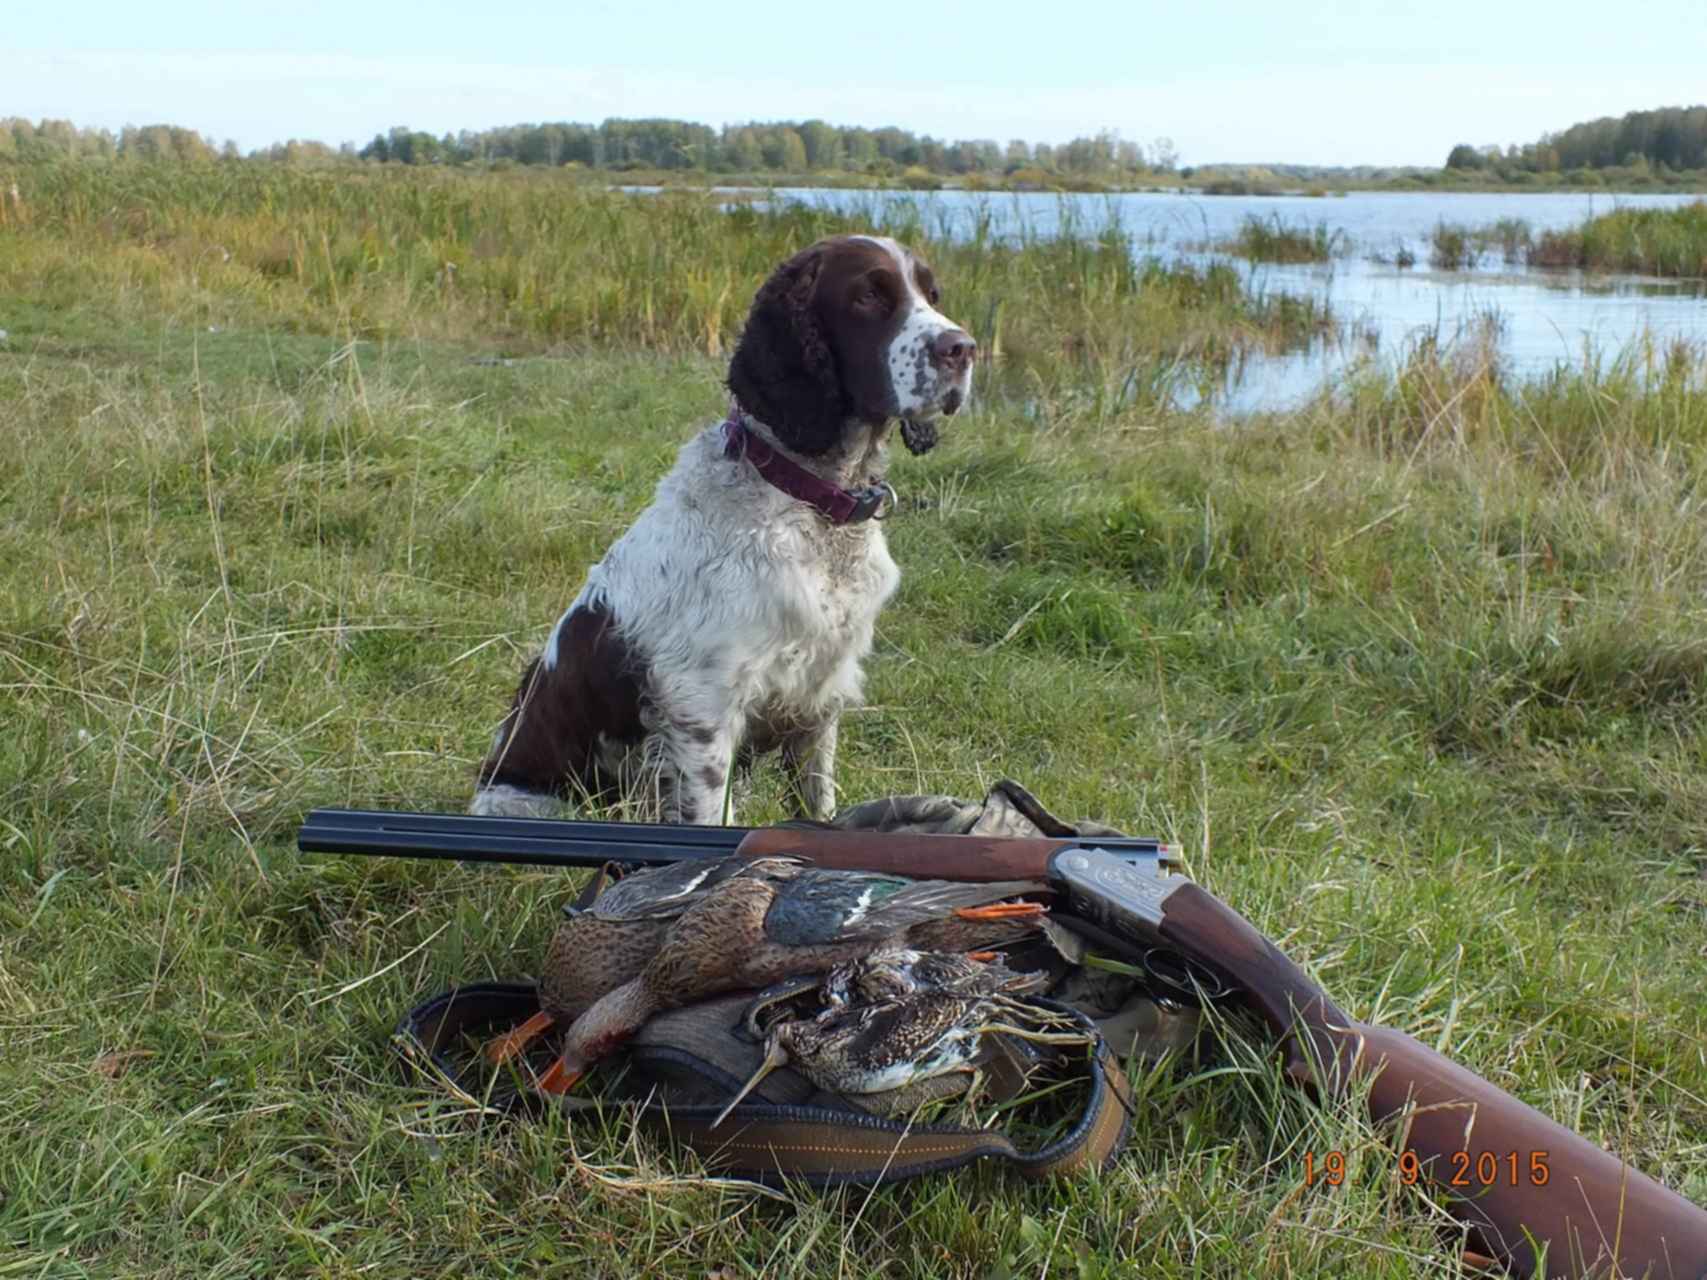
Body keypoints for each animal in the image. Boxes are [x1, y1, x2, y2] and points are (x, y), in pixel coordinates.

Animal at [471, 235, 976, 826]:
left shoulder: (819, 700)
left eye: (932, 294)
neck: (813, 506)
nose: (963, 349)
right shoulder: (705, 708)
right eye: (868, 296)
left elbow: (819, 803)